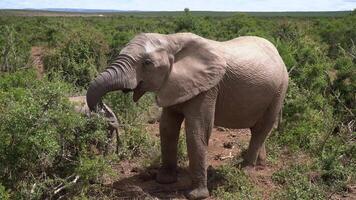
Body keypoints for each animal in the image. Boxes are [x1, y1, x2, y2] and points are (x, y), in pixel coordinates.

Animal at [86, 32, 290, 198]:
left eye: (147, 63)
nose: (101, 108)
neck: (171, 40)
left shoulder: (208, 88)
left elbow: (196, 130)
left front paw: (196, 195)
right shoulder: (174, 84)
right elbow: (167, 127)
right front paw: (164, 180)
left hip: (280, 89)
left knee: (262, 128)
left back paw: (246, 170)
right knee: (258, 130)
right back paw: (260, 164)